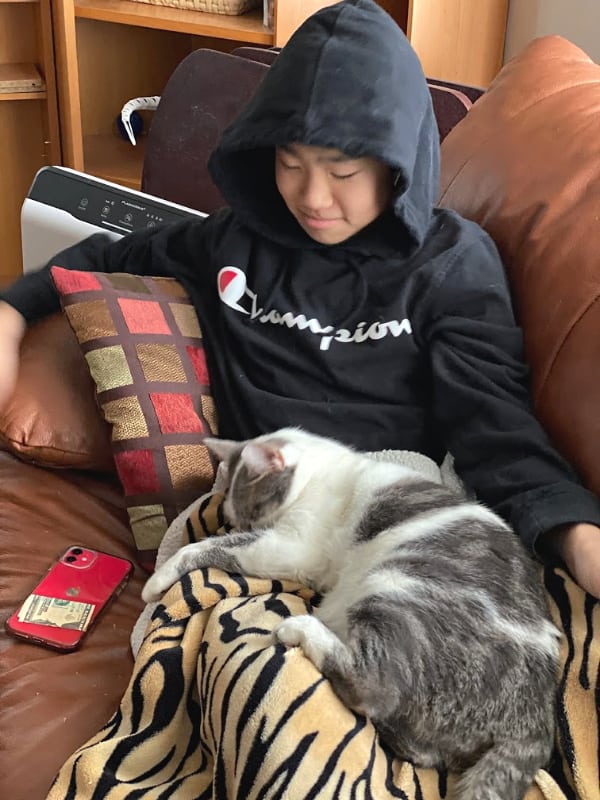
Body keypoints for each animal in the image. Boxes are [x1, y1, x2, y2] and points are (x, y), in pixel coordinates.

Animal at [143, 428, 560, 796]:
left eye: (252, 509)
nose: (244, 523)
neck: (320, 471)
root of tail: (536, 719)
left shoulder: (287, 547)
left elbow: (203, 547)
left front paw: (157, 580)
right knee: (422, 747)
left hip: (396, 587)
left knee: (370, 688)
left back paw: (301, 628)